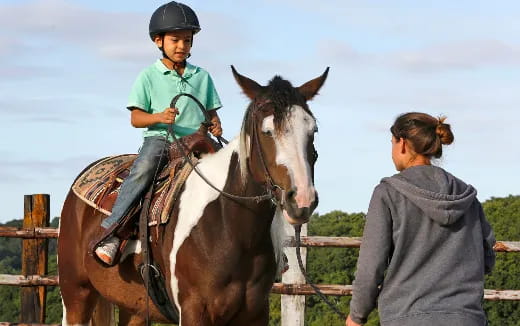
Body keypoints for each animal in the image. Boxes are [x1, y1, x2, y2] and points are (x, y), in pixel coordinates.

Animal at [58, 66, 330, 326]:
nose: (302, 200)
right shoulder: (193, 312)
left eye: (313, 129)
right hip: (76, 294)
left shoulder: (255, 314)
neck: (230, 228)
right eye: (267, 131)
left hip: (133, 309)